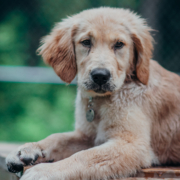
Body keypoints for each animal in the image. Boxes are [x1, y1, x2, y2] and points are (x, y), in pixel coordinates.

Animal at [5, 7, 180, 180]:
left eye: (119, 44)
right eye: (86, 42)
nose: (100, 76)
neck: (101, 101)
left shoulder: (132, 144)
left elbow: (85, 156)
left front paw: (44, 171)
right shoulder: (88, 136)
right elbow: (58, 138)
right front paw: (29, 148)